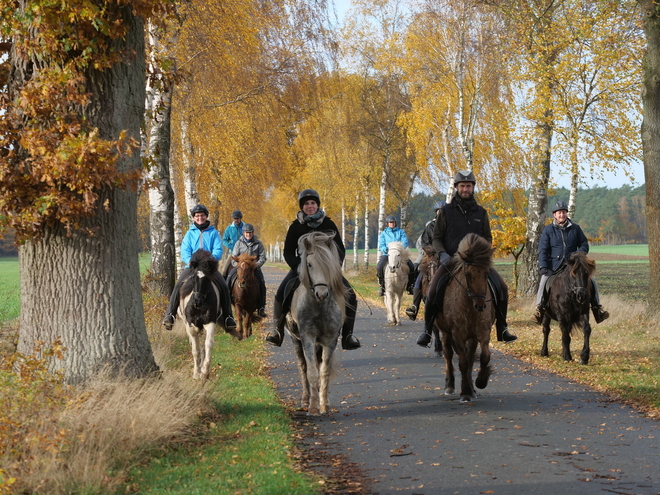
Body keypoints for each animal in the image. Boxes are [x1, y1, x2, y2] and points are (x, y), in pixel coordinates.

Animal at [284, 232, 346, 414]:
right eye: (309, 264)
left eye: (329, 264)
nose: (322, 294)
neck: (319, 306)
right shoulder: (308, 338)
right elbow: (311, 372)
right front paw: (312, 408)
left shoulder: (330, 340)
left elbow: (324, 371)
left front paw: (324, 404)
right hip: (295, 339)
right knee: (303, 367)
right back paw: (306, 400)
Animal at [434, 233, 496, 404]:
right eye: (468, 275)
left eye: (486, 273)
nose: (481, 306)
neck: (469, 306)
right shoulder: (458, 334)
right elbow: (462, 362)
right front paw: (465, 393)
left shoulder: (483, 332)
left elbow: (483, 357)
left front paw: (480, 382)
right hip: (445, 333)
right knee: (448, 355)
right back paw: (450, 386)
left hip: (472, 337)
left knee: (470, 357)